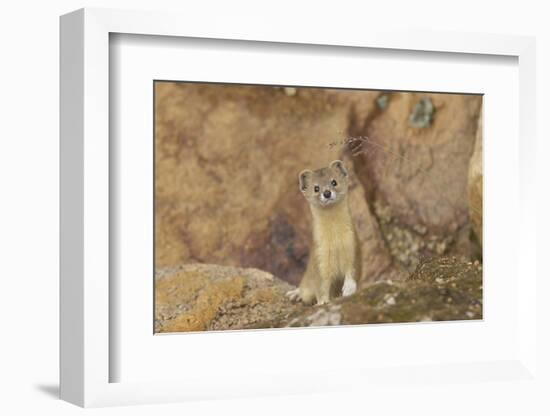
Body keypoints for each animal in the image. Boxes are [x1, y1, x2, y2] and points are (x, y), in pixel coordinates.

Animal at [288, 159, 362, 306]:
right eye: (316, 188)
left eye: (334, 182)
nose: (327, 193)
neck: (335, 242)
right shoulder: (319, 256)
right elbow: (321, 285)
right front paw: (322, 302)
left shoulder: (352, 244)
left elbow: (352, 270)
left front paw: (349, 288)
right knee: (305, 288)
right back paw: (295, 294)